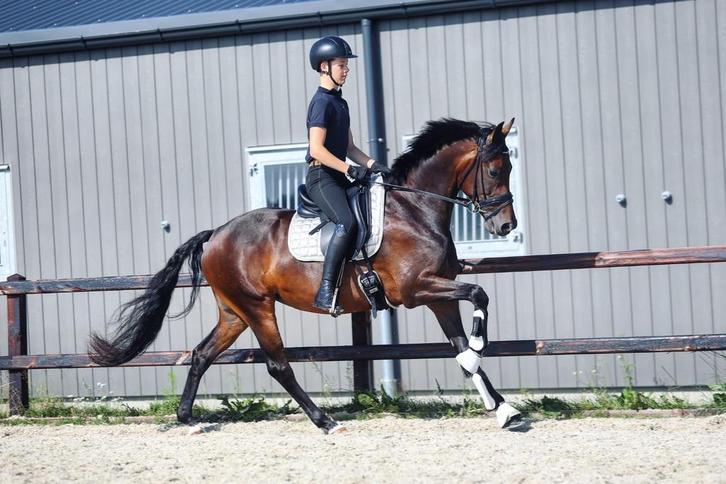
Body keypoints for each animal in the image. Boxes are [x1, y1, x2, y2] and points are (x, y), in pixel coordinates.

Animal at [89, 117, 521, 433]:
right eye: (495, 169)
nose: (506, 227)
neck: (414, 210)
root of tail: (214, 235)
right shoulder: (416, 291)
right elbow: (478, 295)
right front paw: (482, 347)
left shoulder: (438, 296)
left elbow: (461, 347)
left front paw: (502, 408)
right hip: (257, 307)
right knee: (277, 364)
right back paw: (324, 421)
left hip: (234, 312)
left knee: (202, 354)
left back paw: (187, 419)